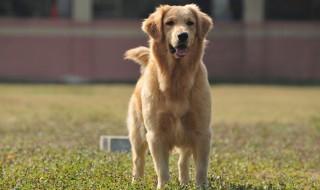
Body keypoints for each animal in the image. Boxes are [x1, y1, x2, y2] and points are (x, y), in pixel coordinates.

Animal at [124, 4, 212, 189]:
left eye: (190, 23)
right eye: (169, 23)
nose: (183, 35)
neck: (176, 78)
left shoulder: (201, 132)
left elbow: (201, 168)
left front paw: (200, 185)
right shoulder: (155, 134)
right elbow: (162, 169)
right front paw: (163, 185)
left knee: (182, 161)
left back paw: (184, 182)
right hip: (137, 133)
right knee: (138, 159)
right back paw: (137, 182)